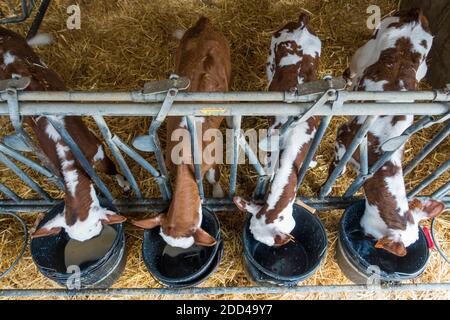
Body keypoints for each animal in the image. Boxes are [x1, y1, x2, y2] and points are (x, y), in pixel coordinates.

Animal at [328, 8, 444, 256]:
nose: (365, 236)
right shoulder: (343, 138)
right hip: (365, 52)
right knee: (352, 72)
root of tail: (416, 15)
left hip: (422, 68)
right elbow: (336, 170)